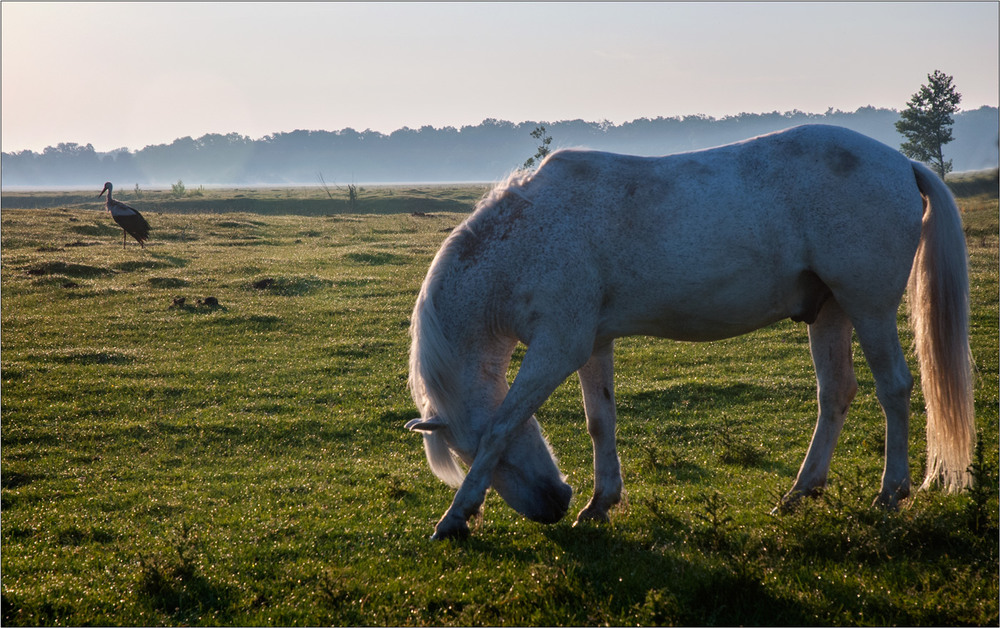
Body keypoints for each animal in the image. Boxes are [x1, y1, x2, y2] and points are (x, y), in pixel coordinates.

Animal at [402, 125, 972, 544]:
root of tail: (901, 163)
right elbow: (599, 421)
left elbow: (504, 423)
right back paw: (799, 493)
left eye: (467, 453)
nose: (553, 505)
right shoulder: (592, 344)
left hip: (867, 307)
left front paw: (454, 518)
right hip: (829, 312)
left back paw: (890, 493)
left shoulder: (557, 348)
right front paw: (600, 503)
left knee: (894, 388)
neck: (526, 238)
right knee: (835, 395)